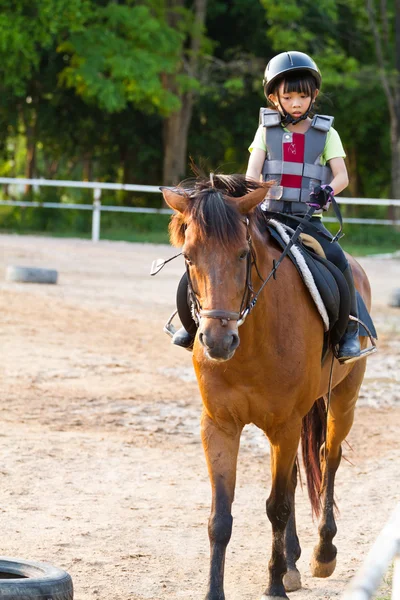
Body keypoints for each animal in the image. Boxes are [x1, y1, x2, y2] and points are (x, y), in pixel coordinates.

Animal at [160, 175, 372, 600]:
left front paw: (274, 584)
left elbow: (278, 506)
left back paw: (323, 553)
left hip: (343, 399)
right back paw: (292, 560)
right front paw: (217, 591)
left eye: (243, 255)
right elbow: (221, 518)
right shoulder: (220, 426)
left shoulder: (284, 425)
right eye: (189, 257)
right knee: (295, 476)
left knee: (329, 458)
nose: (217, 341)